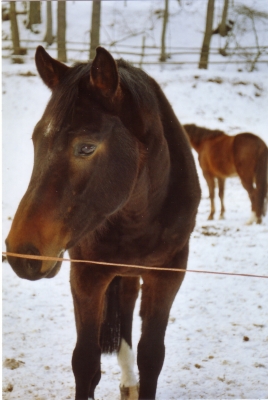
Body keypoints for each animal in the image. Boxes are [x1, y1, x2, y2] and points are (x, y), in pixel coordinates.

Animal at [5, 45, 201, 398]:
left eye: (86, 147)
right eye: (36, 140)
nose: (21, 253)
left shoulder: (168, 275)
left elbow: (152, 356)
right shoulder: (87, 275)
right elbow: (85, 361)